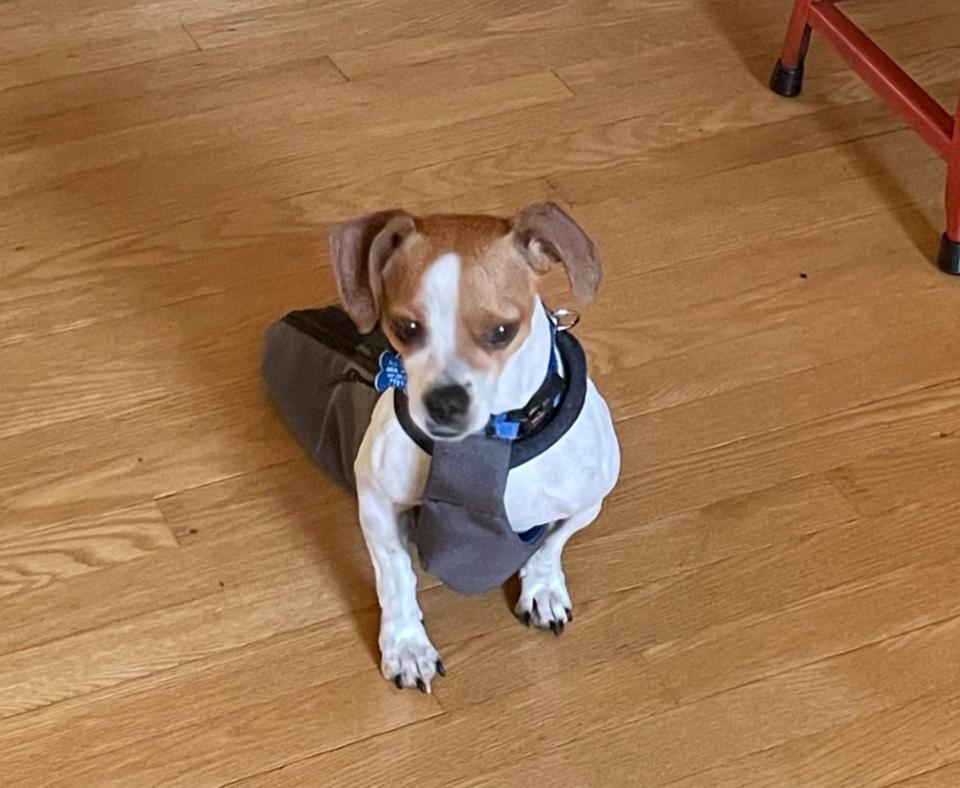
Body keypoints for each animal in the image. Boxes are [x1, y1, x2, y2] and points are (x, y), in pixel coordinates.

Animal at [326, 203, 620, 688]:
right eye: (406, 327)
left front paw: (542, 589)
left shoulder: (588, 501)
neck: (492, 440)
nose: (446, 403)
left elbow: (550, 544)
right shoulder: (376, 501)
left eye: (502, 331)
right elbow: (396, 575)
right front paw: (406, 645)